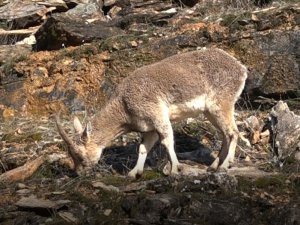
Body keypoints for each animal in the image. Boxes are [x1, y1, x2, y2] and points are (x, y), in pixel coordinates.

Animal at [55, 47, 246, 178]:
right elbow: (142, 148)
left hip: (221, 104)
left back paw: (224, 166)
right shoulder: (149, 128)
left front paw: (175, 169)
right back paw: (214, 166)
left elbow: (167, 141)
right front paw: (134, 173)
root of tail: (241, 68)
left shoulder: (157, 116)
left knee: (233, 132)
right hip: (210, 112)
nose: (78, 173)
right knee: (225, 134)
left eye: (79, 154)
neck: (124, 104)